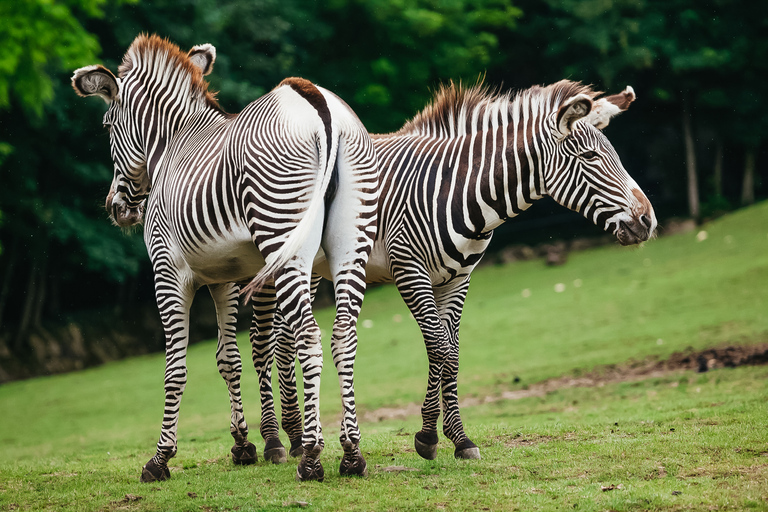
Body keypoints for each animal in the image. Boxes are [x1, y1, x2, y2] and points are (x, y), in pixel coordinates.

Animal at [73, 34, 380, 482]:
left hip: (282, 233)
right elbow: (228, 359)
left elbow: (176, 368)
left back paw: (311, 457)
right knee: (343, 334)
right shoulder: (225, 278)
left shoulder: (168, 270)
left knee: (308, 335)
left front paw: (160, 458)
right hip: (347, 244)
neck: (171, 145)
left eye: (107, 126)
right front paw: (243, 444)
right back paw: (350, 453)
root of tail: (314, 100)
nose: (117, 208)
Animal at [255, 79, 656, 460]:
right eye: (590, 156)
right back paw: (272, 442)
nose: (648, 221)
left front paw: (458, 438)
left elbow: (453, 352)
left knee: (285, 339)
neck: (459, 189)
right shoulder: (409, 270)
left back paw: (295, 438)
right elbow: (439, 348)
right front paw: (428, 436)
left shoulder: (458, 278)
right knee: (265, 341)